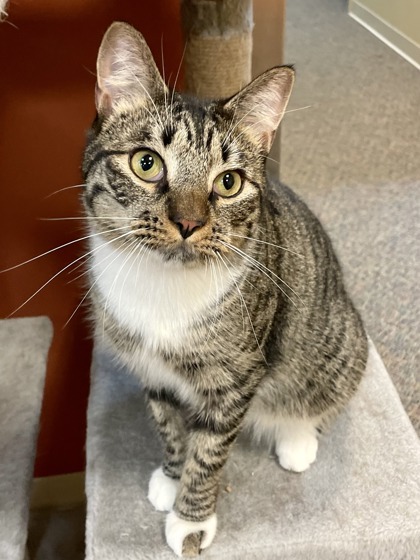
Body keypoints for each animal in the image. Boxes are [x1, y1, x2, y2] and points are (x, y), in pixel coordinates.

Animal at [82, 20, 368, 556]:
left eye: (229, 182)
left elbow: (209, 452)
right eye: (147, 163)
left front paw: (190, 520)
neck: (162, 289)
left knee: (314, 400)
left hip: (337, 344)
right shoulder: (151, 370)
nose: (189, 223)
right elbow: (170, 427)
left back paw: (296, 441)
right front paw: (171, 478)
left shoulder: (234, 379)